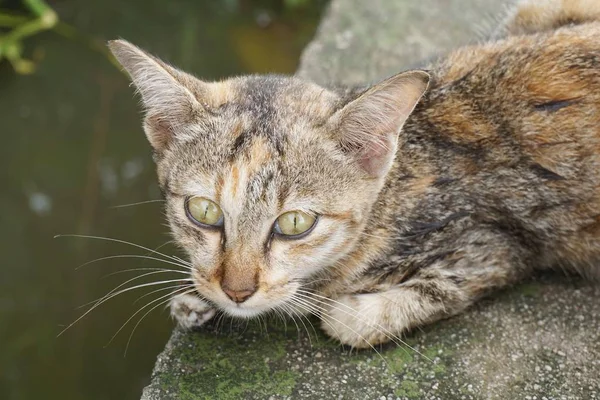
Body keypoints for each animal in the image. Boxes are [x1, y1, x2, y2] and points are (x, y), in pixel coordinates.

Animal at [108, 0, 600, 348]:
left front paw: (323, 303)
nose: (237, 291)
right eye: (203, 211)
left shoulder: (494, 247)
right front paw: (197, 295)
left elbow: (349, 319)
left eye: (295, 224)